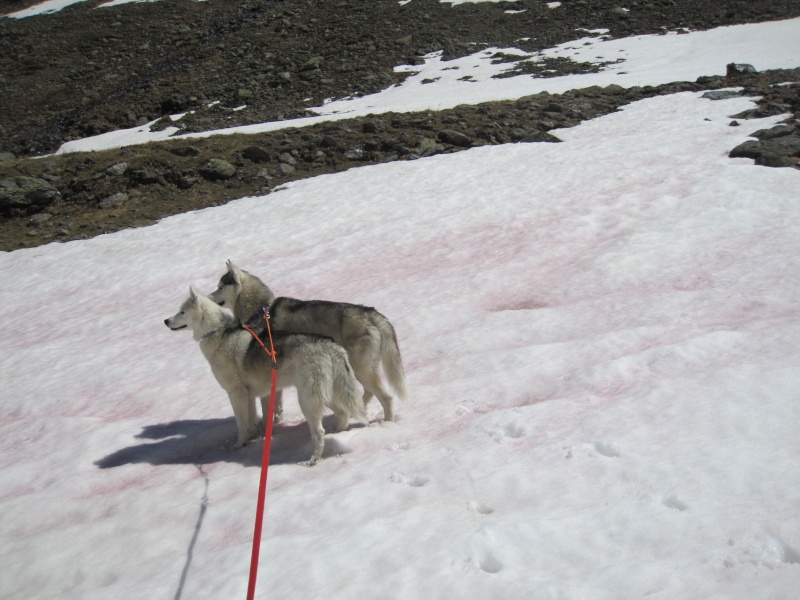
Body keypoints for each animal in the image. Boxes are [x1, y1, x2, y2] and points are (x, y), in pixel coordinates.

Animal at [166, 286, 366, 464]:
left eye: (181, 312)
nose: (166, 321)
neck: (217, 333)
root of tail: (331, 346)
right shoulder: (249, 396)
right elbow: (250, 423)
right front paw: (251, 439)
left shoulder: (236, 394)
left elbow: (241, 425)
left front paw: (238, 446)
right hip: (325, 395)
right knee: (343, 414)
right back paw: (338, 433)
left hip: (308, 399)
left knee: (319, 431)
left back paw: (312, 460)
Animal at [209, 260, 406, 420]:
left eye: (220, 287)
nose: (209, 297)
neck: (260, 310)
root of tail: (371, 313)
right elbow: (276, 408)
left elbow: (267, 410)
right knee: (368, 394)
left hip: (361, 369)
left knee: (386, 397)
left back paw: (386, 423)